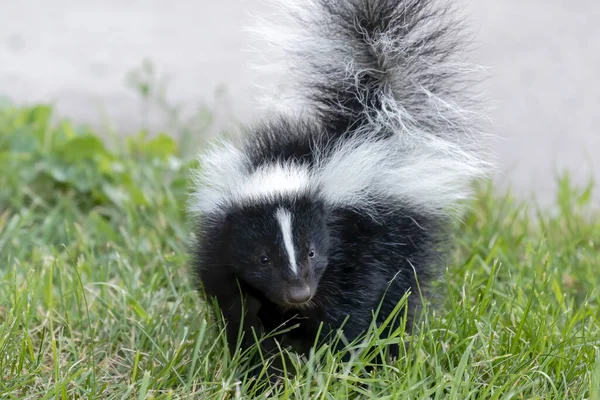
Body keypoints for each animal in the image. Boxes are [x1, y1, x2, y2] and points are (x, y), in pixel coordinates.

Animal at [189, 0, 492, 374]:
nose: (299, 293)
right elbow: (237, 307)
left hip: (405, 238)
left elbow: (351, 306)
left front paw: (330, 361)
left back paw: (388, 352)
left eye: (313, 251)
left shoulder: (359, 242)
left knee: (399, 297)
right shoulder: (219, 246)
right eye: (263, 258)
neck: (290, 166)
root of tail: (375, 121)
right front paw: (260, 363)